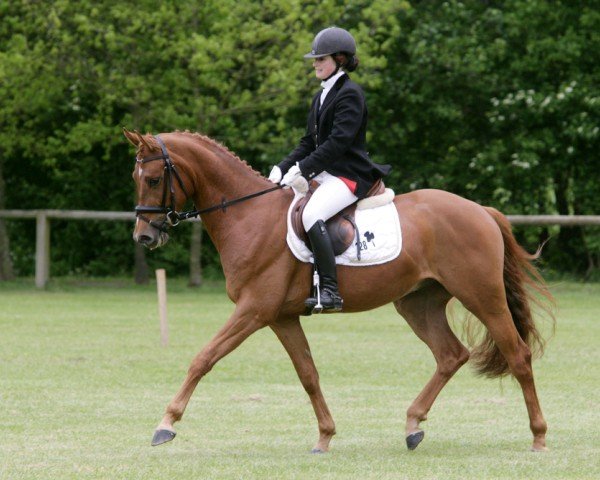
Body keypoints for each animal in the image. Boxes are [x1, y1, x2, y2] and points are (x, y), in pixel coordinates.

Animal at [125, 128, 552, 454]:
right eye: (136, 179)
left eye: (154, 179)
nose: (144, 237)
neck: (250, 216)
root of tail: (482, 211)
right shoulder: (281, 317)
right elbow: (308, 374)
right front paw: (325, 437)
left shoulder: (253, 310)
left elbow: (204, 358)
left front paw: (166, 424)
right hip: (418, 303)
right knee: (450, 355)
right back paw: (413, 425)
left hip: (482, 297)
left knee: (518, 355)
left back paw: (538, 438)